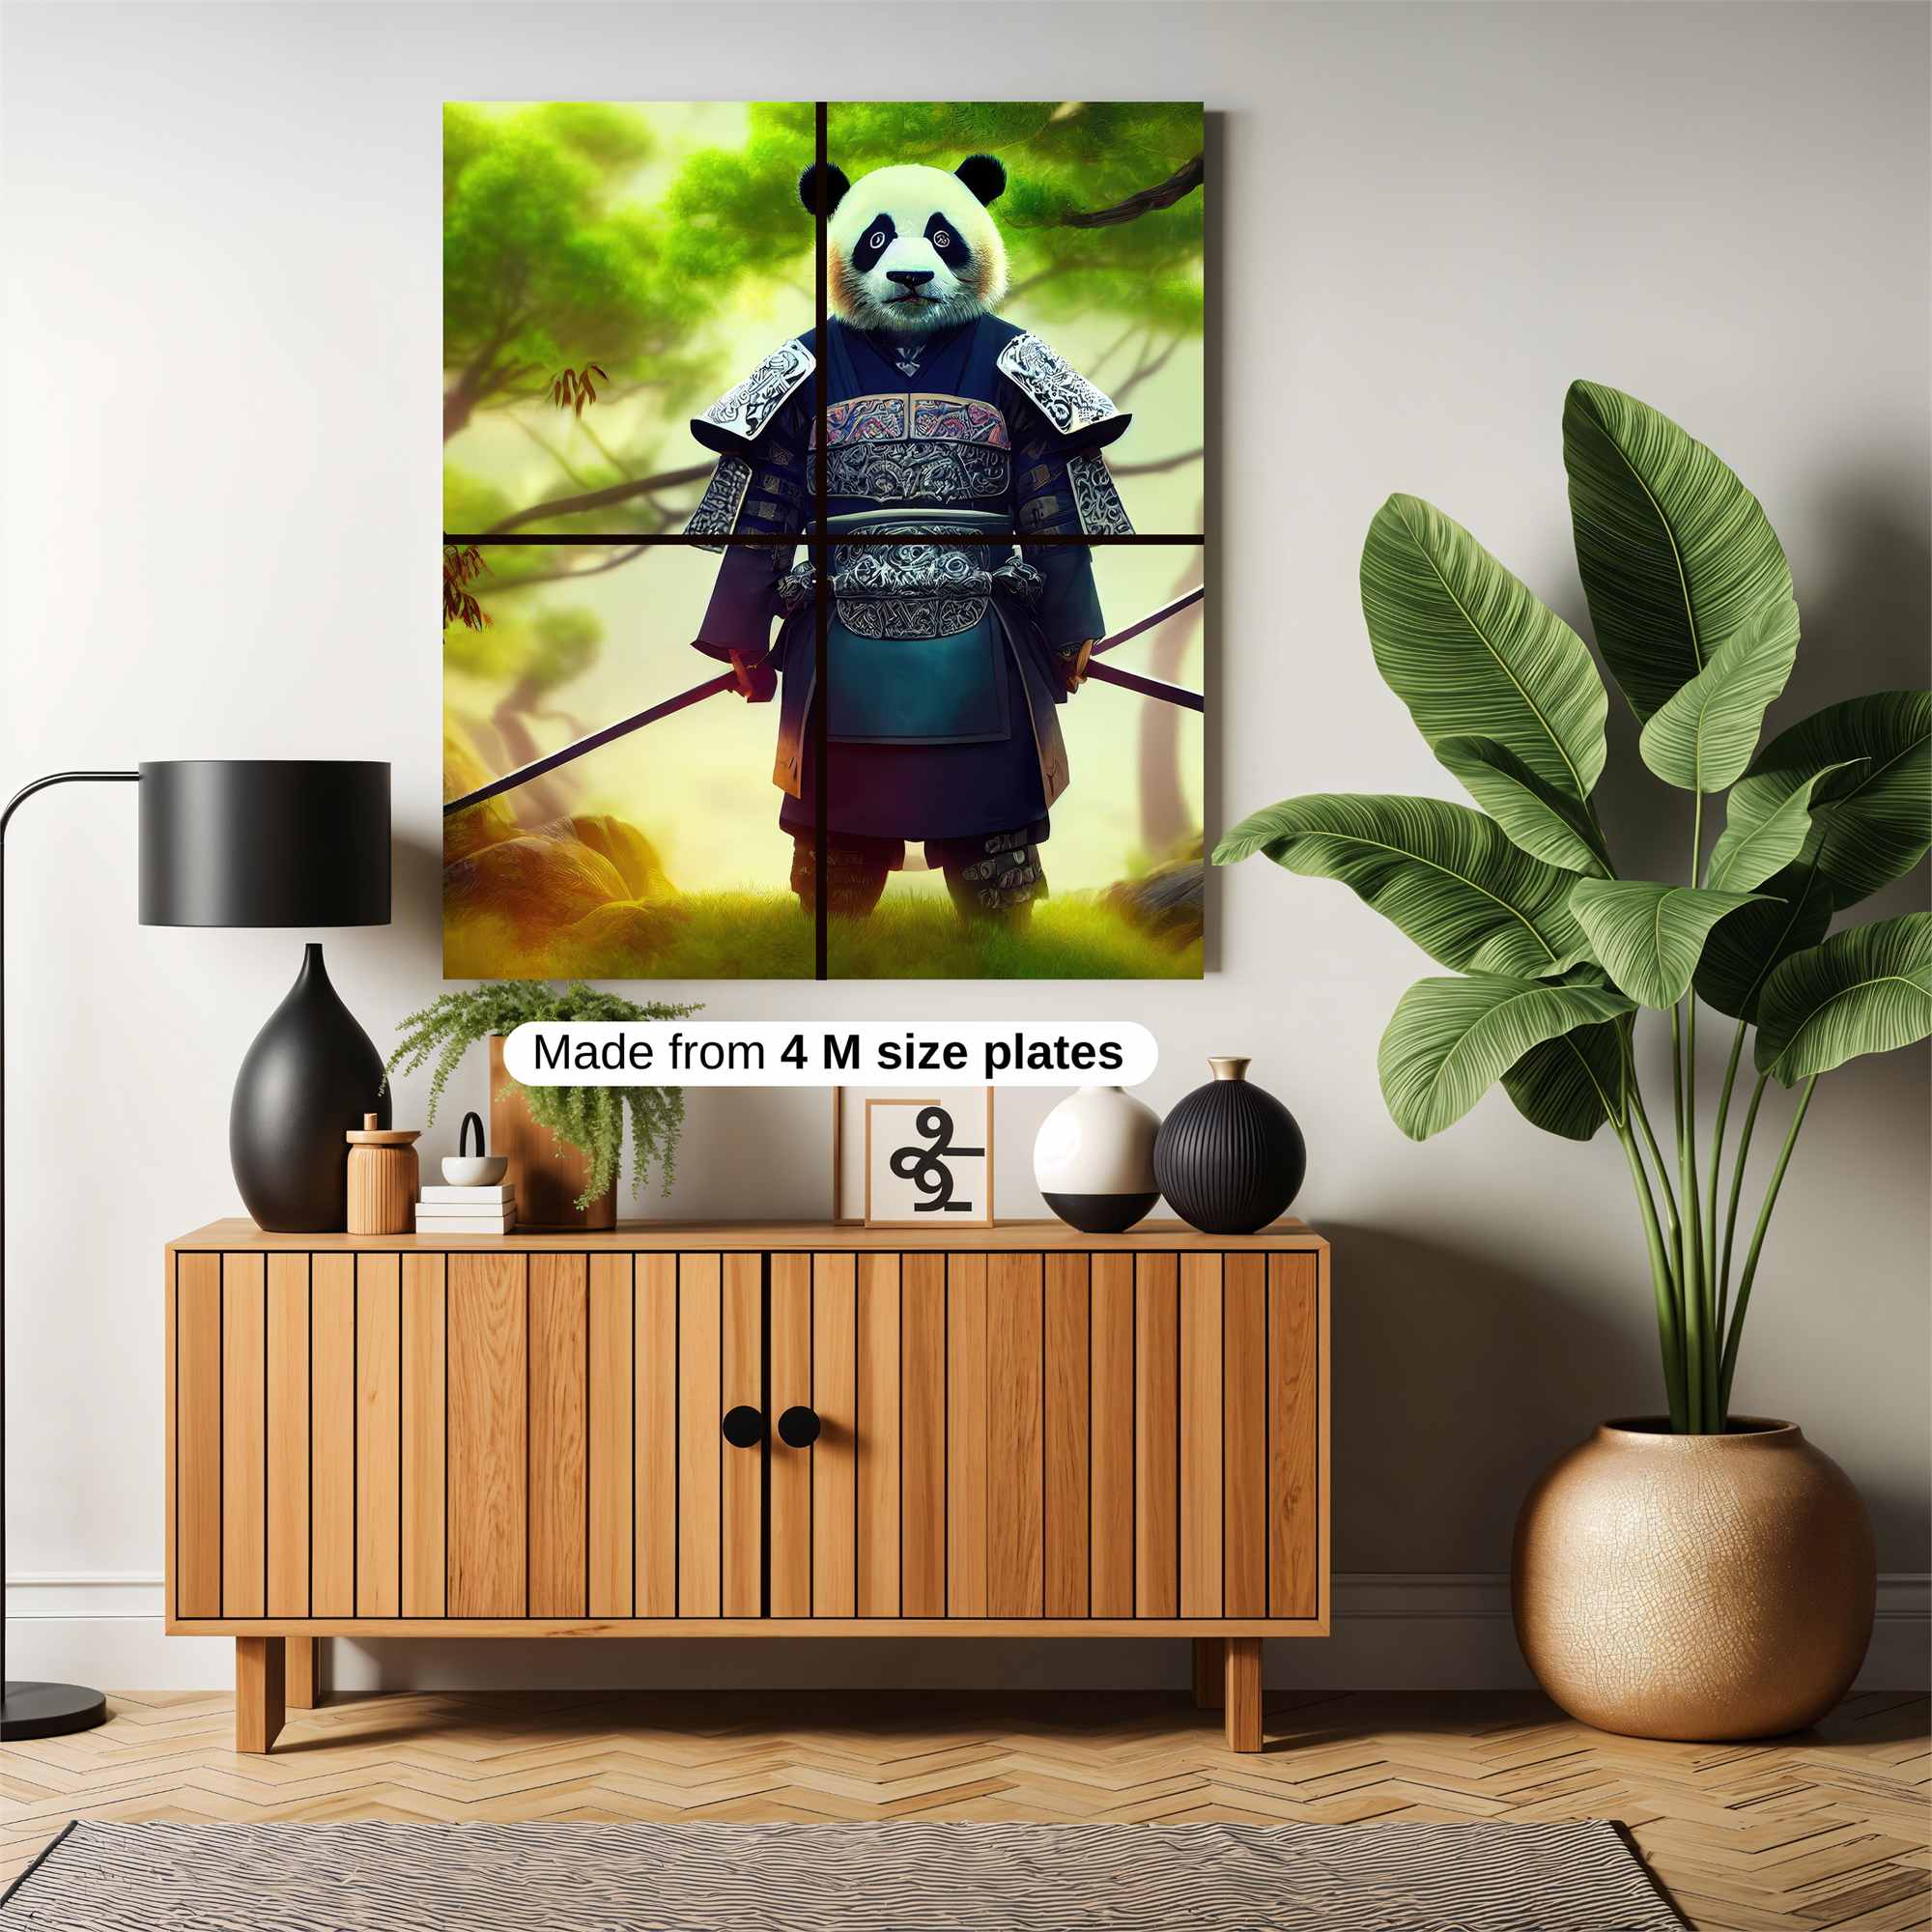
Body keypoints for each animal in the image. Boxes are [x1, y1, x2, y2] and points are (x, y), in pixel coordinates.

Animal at [684, 156, 1136, 926]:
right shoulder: (793, 380)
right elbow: (767, 491)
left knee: (994, 845)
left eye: (943, 235)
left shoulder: (1027, 374)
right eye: (876, 238)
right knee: (837, 848)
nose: (912, 276)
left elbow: (1050, 492)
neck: (909, 343)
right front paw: (741, 658)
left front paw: (1075, 648)